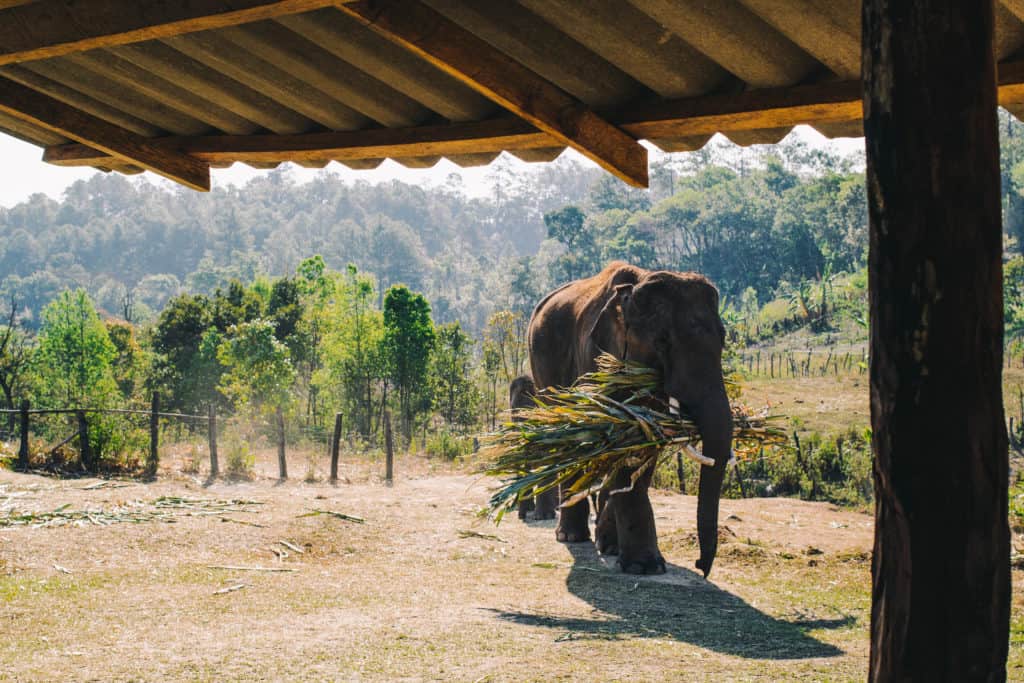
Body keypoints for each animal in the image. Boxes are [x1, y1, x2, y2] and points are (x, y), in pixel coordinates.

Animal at [528, 262, 737, 577]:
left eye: (723, 340)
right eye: (662, 342)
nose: (700, 565)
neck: (635, 285)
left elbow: (641, 446)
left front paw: (612, 546)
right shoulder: (598, 358)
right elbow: (624, 445)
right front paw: (644, 566)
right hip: (543, 373)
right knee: (569, 443)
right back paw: (570, 536)